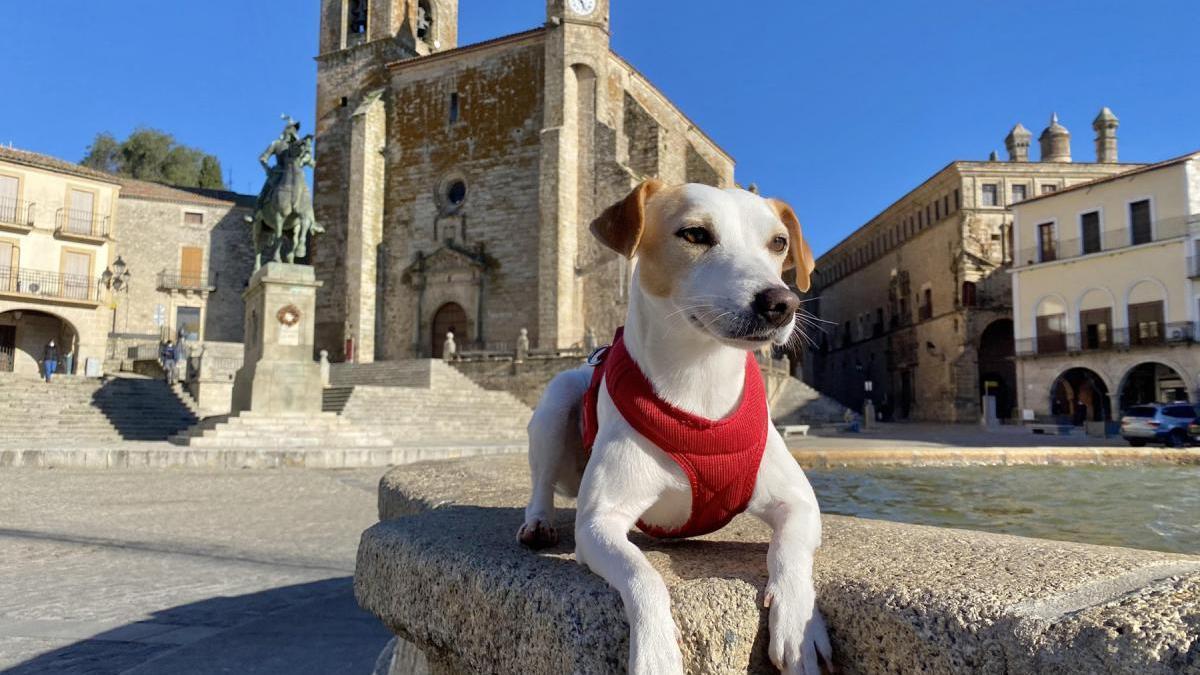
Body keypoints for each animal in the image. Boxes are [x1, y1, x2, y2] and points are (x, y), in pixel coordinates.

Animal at [520, 180, 830, 672]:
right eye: (695, 234)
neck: (698, 385)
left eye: (779, 242)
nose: (782, 303)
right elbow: (643, 578)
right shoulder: (599, 524)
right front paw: (656, 653)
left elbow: (789, 550)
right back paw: (537, 522)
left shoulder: (799, 503)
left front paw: (799, 625)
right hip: (556, 400)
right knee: (542, 483)